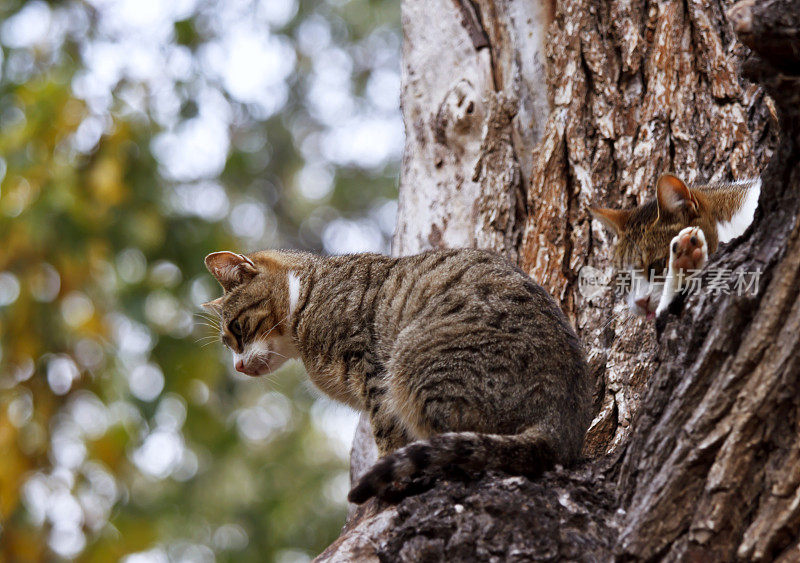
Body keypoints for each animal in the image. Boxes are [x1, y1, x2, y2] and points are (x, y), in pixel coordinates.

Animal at [203, 249, 592, 504]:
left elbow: (387, 429)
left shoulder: (372, 372)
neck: (309, 296)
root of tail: (559, 426)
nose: (238, 366)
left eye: (237, 329)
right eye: (227, 343)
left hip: (413, 368)